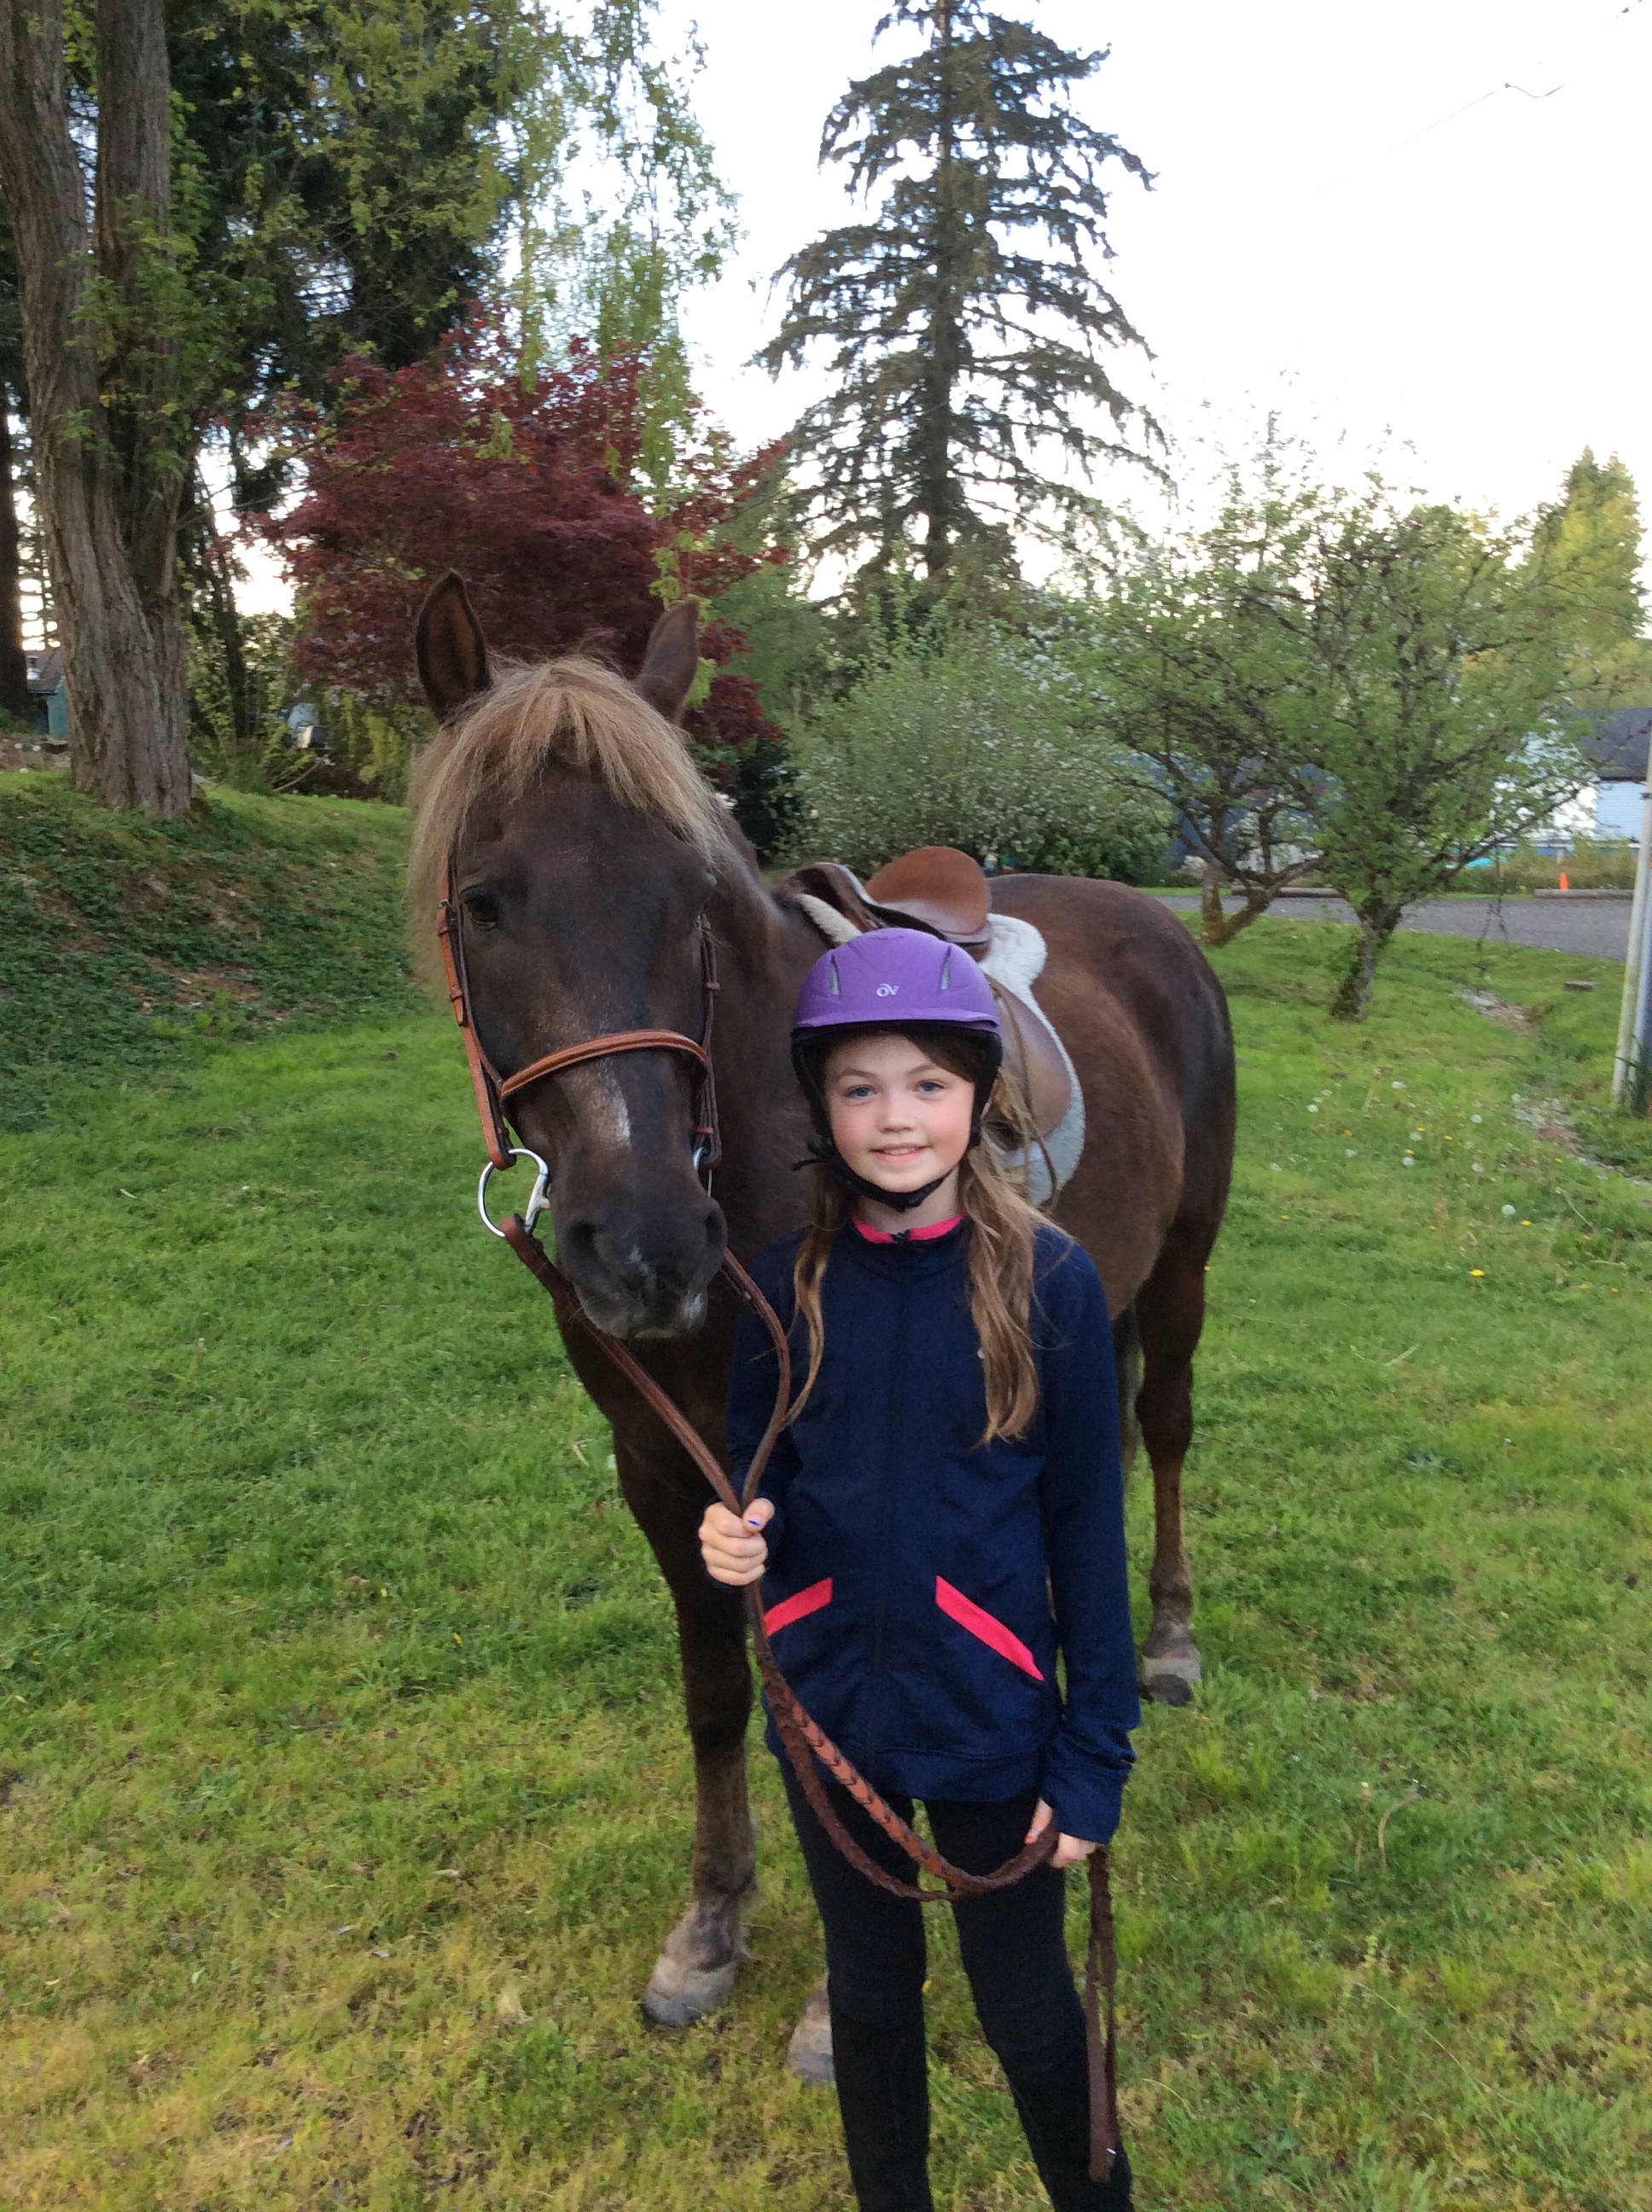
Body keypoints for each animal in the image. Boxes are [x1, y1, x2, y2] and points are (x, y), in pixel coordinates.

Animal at [411, 579, 1238, 2044]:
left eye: (693, 896)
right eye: (484, 901)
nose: (647, 1246)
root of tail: (1152, 926)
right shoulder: (657, 1462)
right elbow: (719, 1687)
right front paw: (711, 1924)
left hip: (1186, 1266)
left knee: (1170, 1431)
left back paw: (1170, 1641)